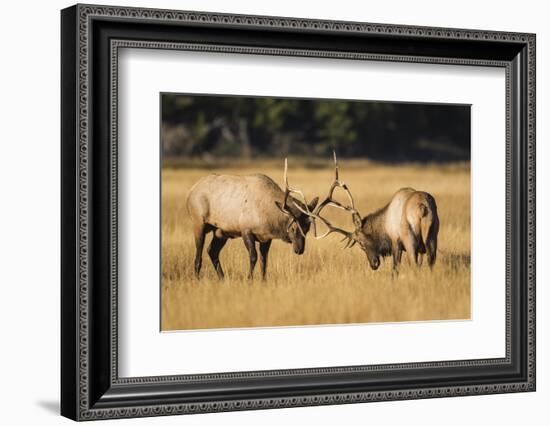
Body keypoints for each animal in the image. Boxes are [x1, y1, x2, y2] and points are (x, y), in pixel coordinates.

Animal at [187, 160, 320, 280]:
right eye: (292, 227)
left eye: (307, 228)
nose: (299, 249)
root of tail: (191, 191)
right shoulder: (246, 230)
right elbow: (253, 257)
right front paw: (249, 279)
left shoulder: (266, 238)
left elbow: (264, 260)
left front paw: (263, 280)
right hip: (198, 223)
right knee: (198, 255)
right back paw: (197, 279)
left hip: (220, 231)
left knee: (212, 251)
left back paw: (223, 278)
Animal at [296, 154, 442, 272]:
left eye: (361, 243)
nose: (373, 264)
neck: (384, 225)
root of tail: (422, 207)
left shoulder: (396, 241)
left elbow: (394, 269)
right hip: (432, 235)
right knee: (431, 262)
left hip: (409, 237)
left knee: (415, 264)